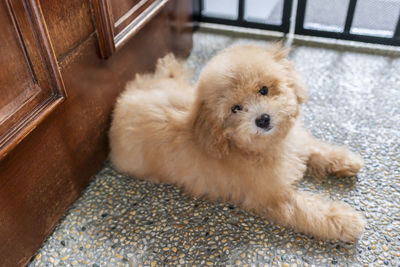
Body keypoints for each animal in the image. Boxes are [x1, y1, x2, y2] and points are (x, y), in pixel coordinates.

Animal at [109, 44, 366, 243]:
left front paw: (345, 160)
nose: (262, 119)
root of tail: (123, 99)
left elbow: (316, 149)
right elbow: (311, 210)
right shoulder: (275, 196)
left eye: (263, 89)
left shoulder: (298, 144)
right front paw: (345, 220)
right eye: (236, 108)